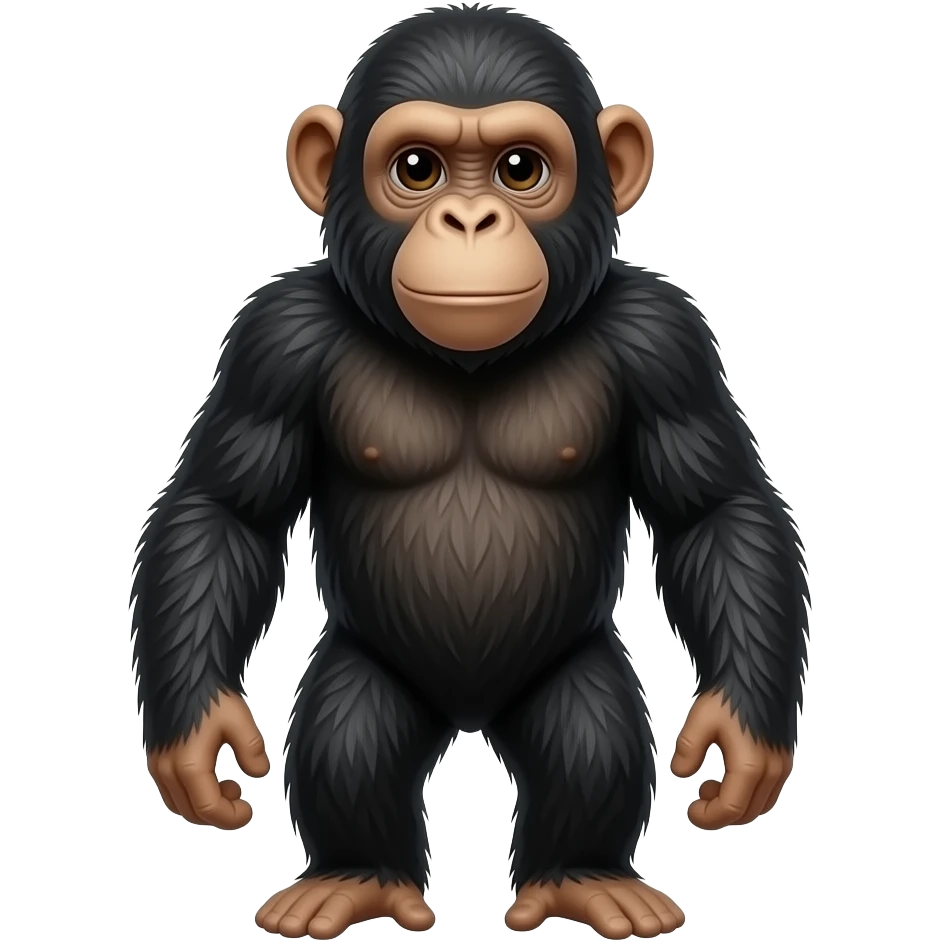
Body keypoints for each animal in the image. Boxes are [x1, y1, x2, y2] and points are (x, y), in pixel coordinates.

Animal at [129, 4, 810, 940]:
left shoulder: (662, 337)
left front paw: (739, 738)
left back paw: (583, 876)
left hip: (569, 670)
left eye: (520, 168)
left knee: (589, 733)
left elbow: (714, 513)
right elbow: (225, 513)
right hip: (368, 668)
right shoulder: (276, 337)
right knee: (350, 733)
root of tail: (469, 716)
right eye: (416, 168)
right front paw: (199, 737)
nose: (469, 221)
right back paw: (354, 876)